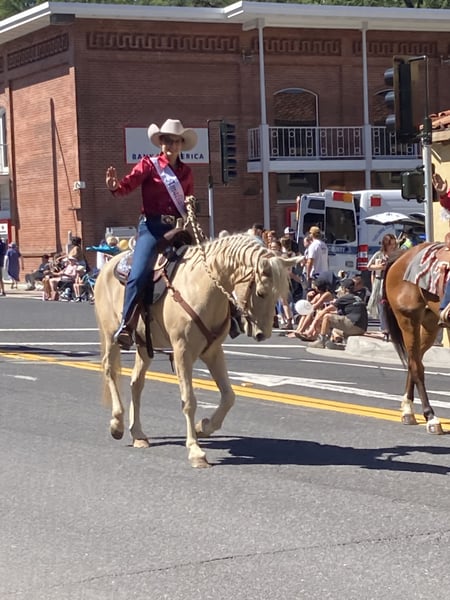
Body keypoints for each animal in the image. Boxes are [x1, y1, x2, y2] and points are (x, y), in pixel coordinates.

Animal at [94, 233, 298, 468]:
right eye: (261, 293)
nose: (262, 334)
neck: (201, 287)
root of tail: (107, 265)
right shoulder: (182, 351)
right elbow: (189, 401)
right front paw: (195, 451)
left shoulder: (213, 352)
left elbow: (229, 396)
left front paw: (204, 427)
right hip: (111, 336)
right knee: (110, 370)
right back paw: (117, 424)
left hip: (145, 346)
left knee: (136, 383)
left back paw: (138, 434)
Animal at [383, 242, 447, 435]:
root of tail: (404, 255)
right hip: (408, 320)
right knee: (416, 366)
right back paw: (430, 417)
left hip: (430, 323)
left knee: (415, 360)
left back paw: (407, 409)